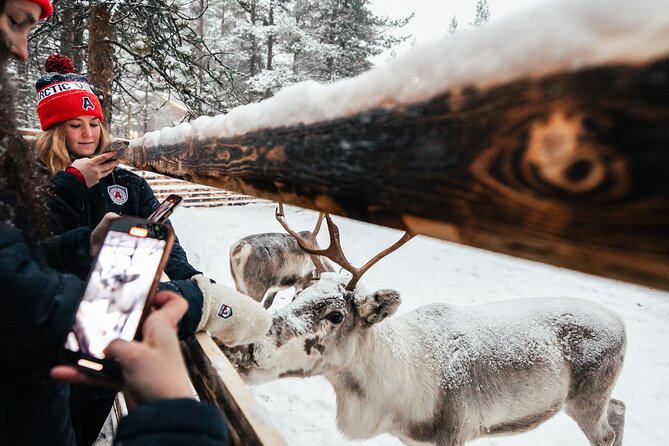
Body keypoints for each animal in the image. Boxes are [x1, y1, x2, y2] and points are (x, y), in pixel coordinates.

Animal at [220, 212, 627, 446]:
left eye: (335, 315)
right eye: (298, 296)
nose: (244, 347)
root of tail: (621, 323)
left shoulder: (457, 431)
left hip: (585, 399)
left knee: (605, 433)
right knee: (620, 408)